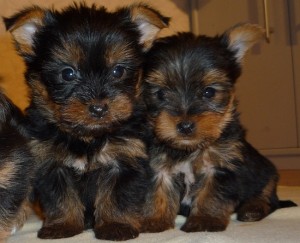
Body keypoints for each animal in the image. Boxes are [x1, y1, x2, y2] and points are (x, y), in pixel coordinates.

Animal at [3, 2, 169, 241]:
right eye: (68, 73)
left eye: (118, 70)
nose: (98, 107)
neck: (88, 136)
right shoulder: (52, 163)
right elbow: (61, 198)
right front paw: (63, 226)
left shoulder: (125, 159)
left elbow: (117, 197)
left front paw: (115, 226)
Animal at [142, 23, 296, 233]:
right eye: (160, 94)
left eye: (209, 92)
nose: (185, 125)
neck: (190, 149)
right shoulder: (160, 167)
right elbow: (159, 191)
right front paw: (155, 220)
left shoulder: (220, 166)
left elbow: (211, 195)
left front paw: (204, 221)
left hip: (264, 172)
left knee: (268, 197)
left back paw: (253, 208)